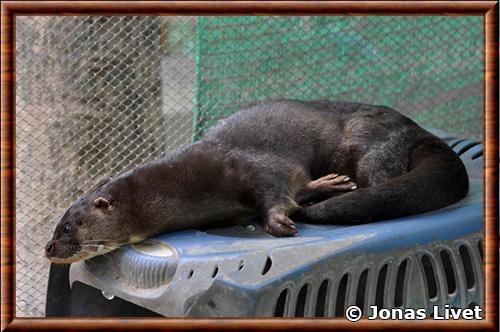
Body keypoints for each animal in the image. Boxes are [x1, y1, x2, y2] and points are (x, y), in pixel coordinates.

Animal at [44, 100, 468, 264]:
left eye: (67, 226)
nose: (49, 248)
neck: (183, 187)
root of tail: (416, 130)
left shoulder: (249, 167)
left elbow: (274, 190)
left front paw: (280, 223)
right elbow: (293, 190)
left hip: (368, 144)